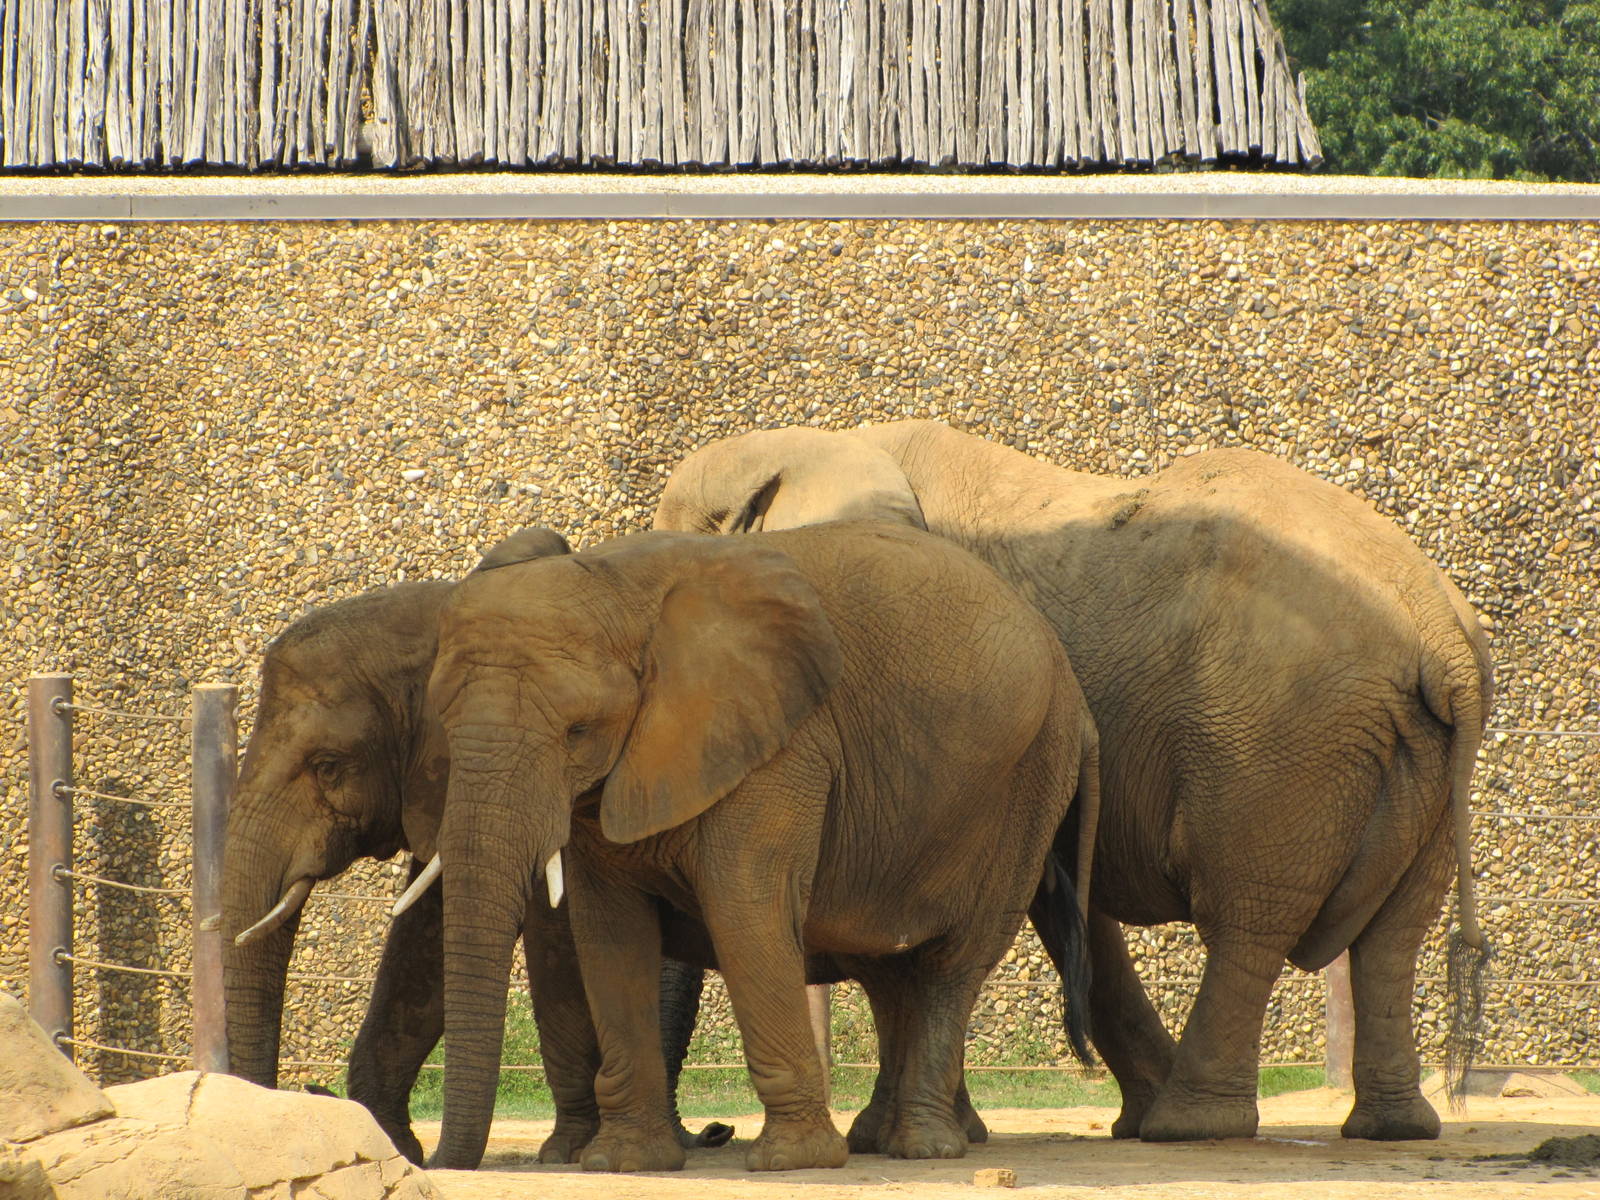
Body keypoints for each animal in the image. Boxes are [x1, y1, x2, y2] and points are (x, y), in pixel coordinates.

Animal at [220, 528, 731, 1165]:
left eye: (328, 765)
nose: (307, 1095)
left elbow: (548, 934)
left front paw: (565, 1152)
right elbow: (426, 938)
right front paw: (394, 1142)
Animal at [422, 522, 1100, 1172]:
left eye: (578, 731)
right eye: (443, 725)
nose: (436, 1161)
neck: (624, 581)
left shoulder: (783, 746)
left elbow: (745, 906)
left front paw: (793, 1162)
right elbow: (610, 931)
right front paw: (624, 1163)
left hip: (1029, 782)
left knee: (950, 963)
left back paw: (925, 1147)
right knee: (888, 970)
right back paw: (876, 1139)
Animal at [653, 419, 1494, 1144]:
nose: (712, 1132)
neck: (821, 444)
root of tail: (1441, 626)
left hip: (1277, 741)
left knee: (1249, 916)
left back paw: (1188, 1127)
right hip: (1411, 754)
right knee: (1395, 933)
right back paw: (1388, 1127)